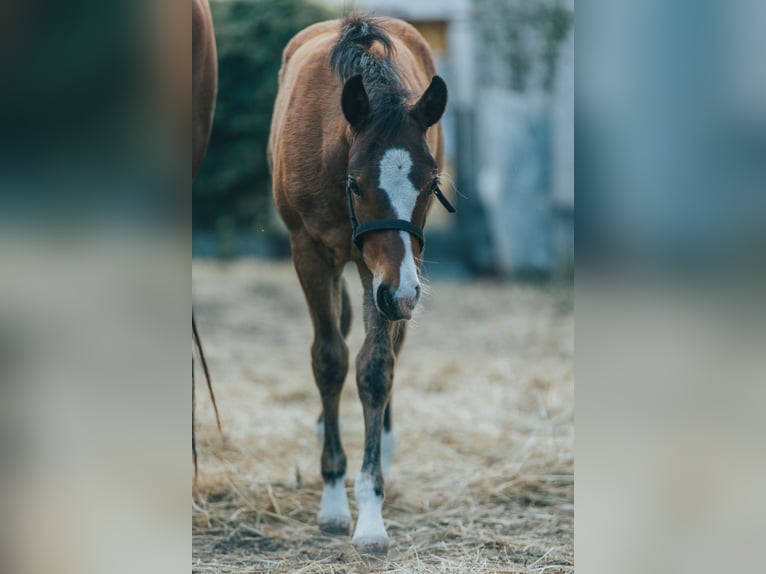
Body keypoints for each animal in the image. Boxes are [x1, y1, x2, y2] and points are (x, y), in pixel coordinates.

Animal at [269, 15, 454, 553]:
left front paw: (370, 514)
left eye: (431, 184)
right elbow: (329, 361)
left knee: (393, 344)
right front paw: (332, 500)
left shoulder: (387, 269)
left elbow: (375, 369)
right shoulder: (310, 254)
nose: (405, 294)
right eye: (355, 183)